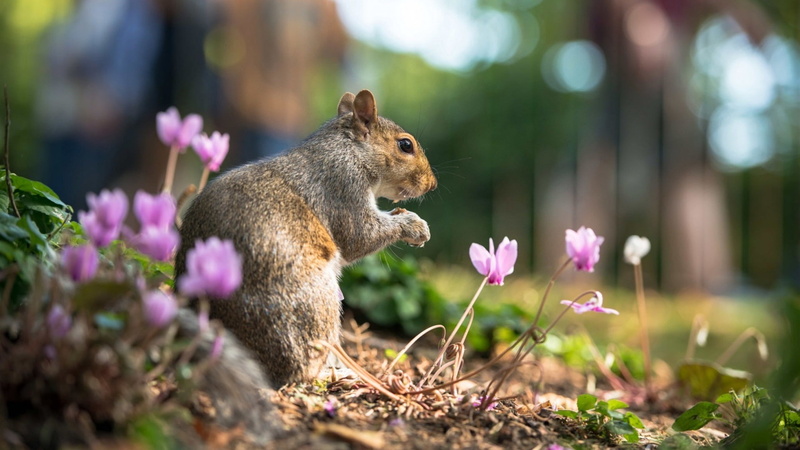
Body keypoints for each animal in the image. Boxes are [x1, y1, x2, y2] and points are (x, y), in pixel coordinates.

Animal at [175, 89, 437, 387]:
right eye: (405, 145)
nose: (432, 184)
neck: (347, 149)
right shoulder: (342, 186)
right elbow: (360, 236)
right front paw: (414, 226)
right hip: (316, 302)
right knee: (301, 371)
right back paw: (336, 373)